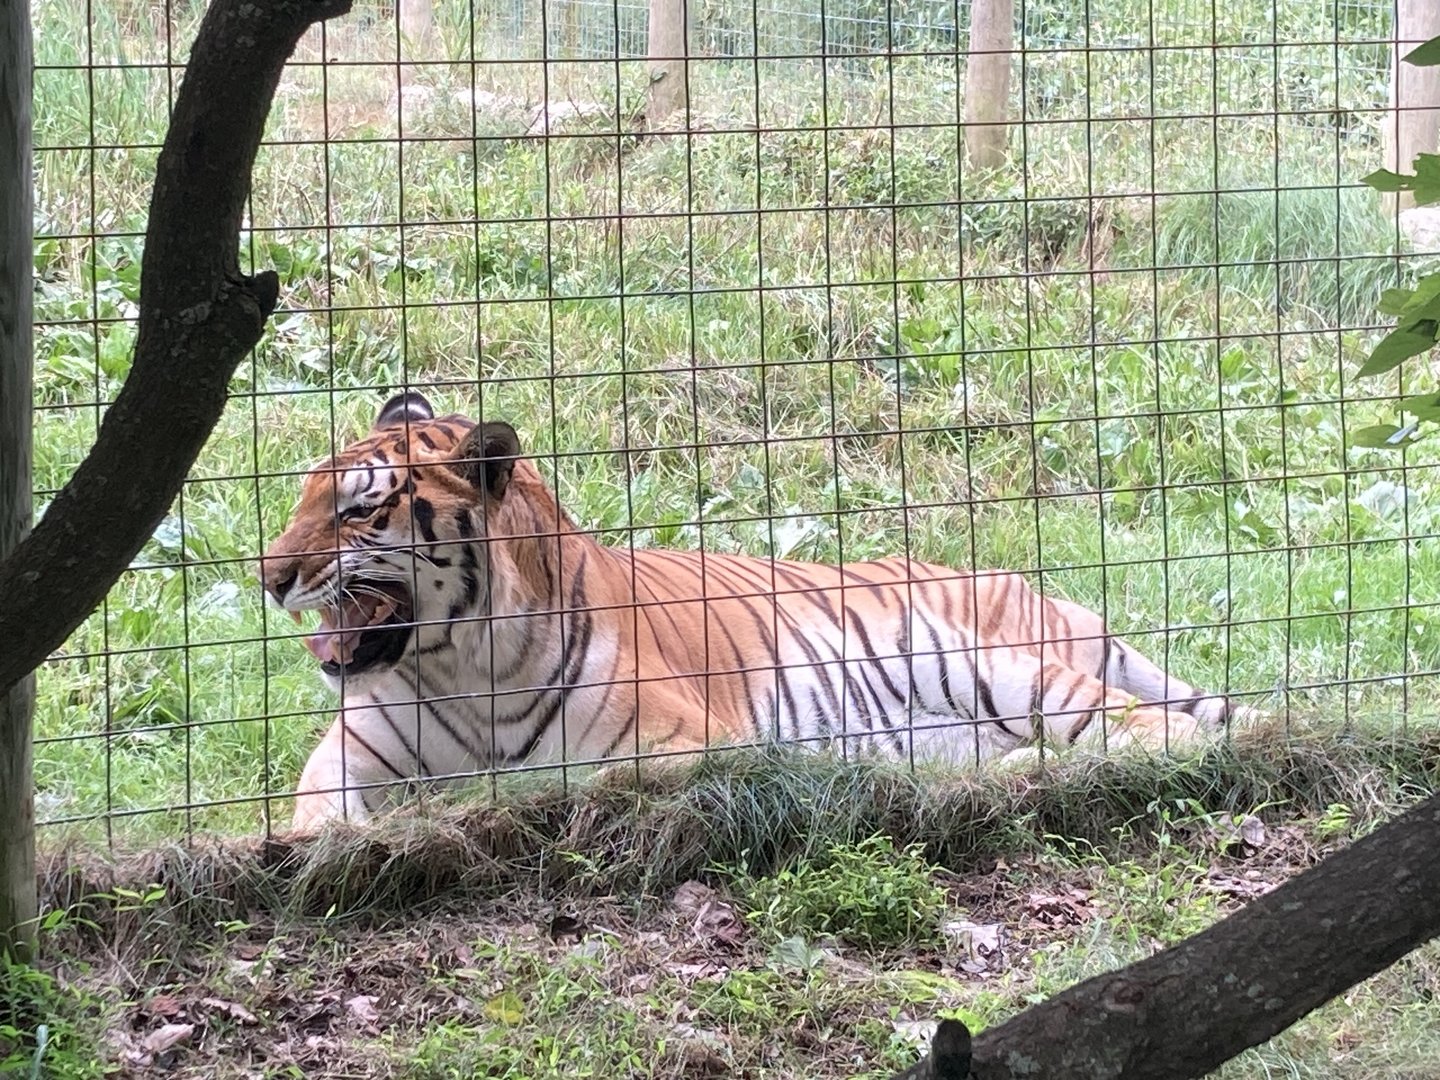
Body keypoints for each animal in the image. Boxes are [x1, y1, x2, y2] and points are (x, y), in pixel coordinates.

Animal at [261, 391, 1255, 831]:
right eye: (303, 496)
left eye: (357, 510)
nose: (269, 576)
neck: (458, 663)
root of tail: (1041, 588)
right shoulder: (350, 752)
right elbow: (316, 818)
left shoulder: (688, 743)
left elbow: (575, 785)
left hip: (1001, 668)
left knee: (1148, 729)